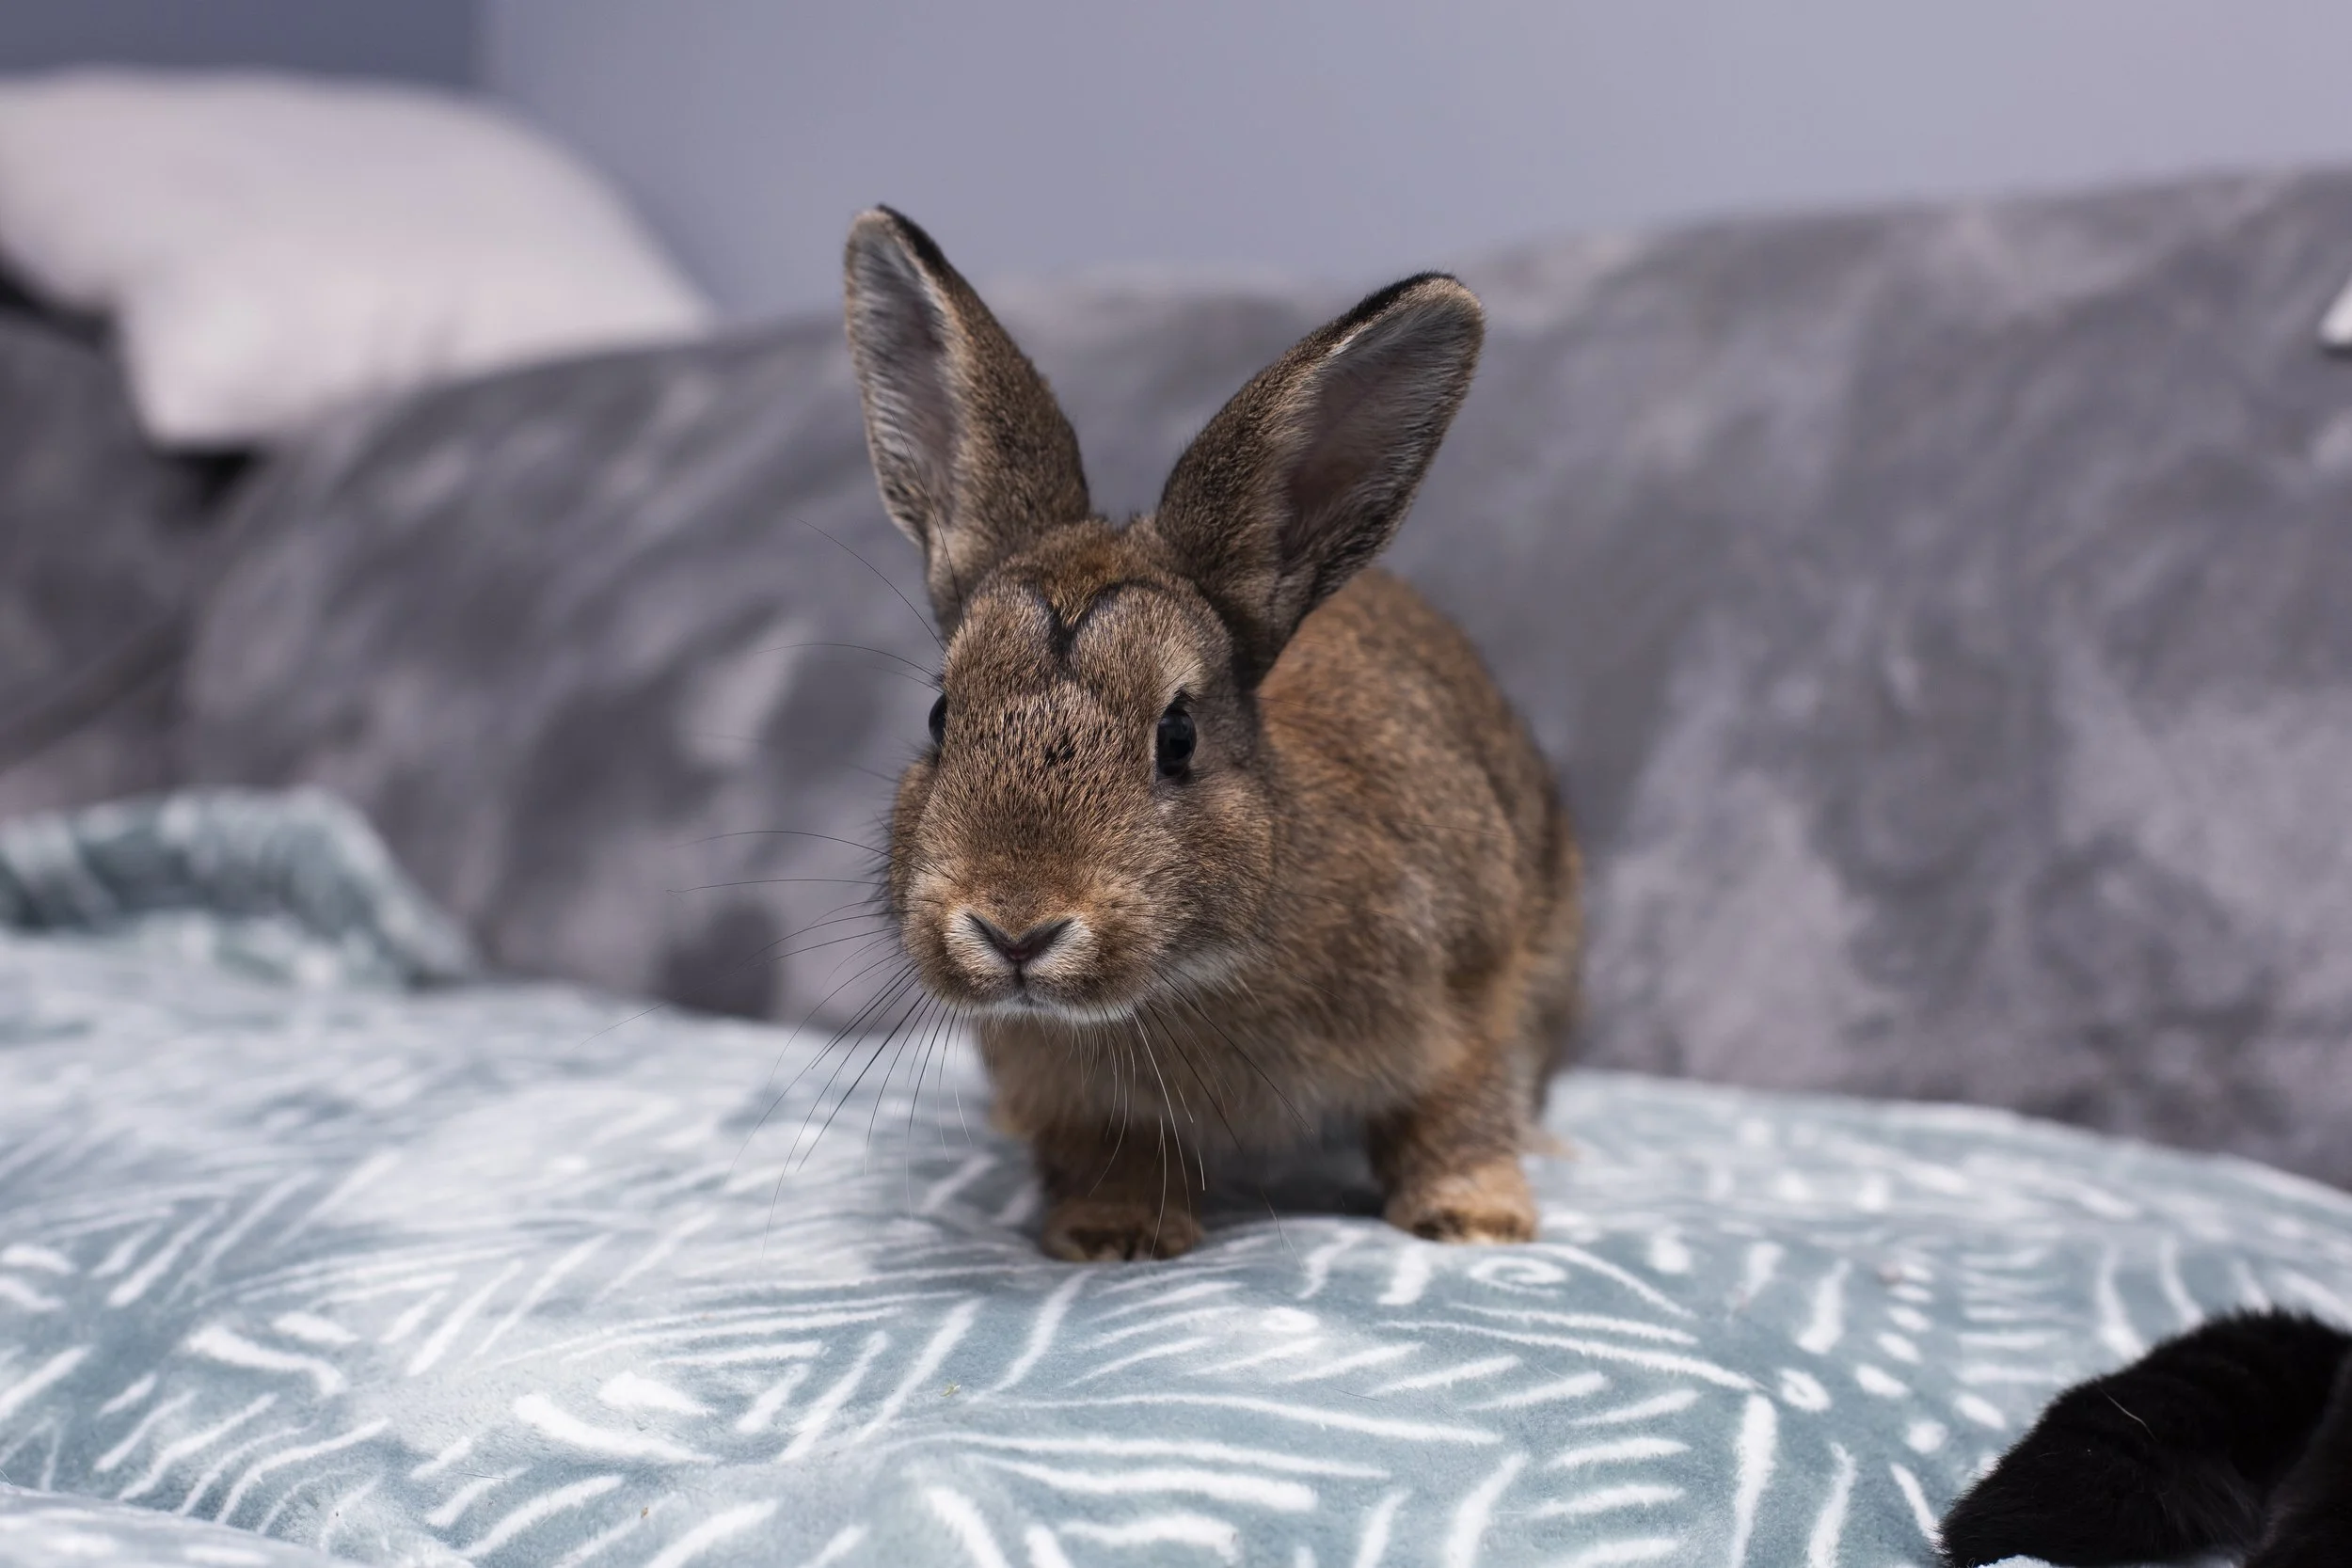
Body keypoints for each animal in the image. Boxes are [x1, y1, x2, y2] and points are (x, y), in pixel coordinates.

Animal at [842, 207, 1581, 1262]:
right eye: (942, 716)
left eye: (1178, 735)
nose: (1015, 926)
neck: (1191, 975)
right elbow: (1113, 1154)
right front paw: (1114, 1232)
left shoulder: (1474, 982)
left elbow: (1457, 1106)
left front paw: (1475, 1218)